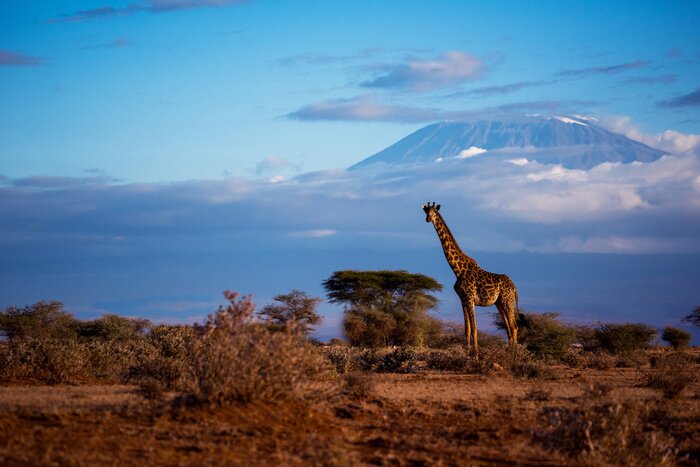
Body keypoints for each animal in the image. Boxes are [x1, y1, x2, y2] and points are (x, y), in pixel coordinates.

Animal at [422, 202, 519, 352]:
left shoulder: (470, 298)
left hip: (507, 301)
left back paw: (515, 353)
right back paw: (509, 351)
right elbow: (467, 330)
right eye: (426, 211)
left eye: (434, 212)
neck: (457, 270)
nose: (428, 219)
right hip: (499, 303)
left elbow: (474, 329)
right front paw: (467, 351)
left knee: (514, 327)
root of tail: (514, 288)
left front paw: (476, 353)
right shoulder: (463, 299)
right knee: (508, 328)